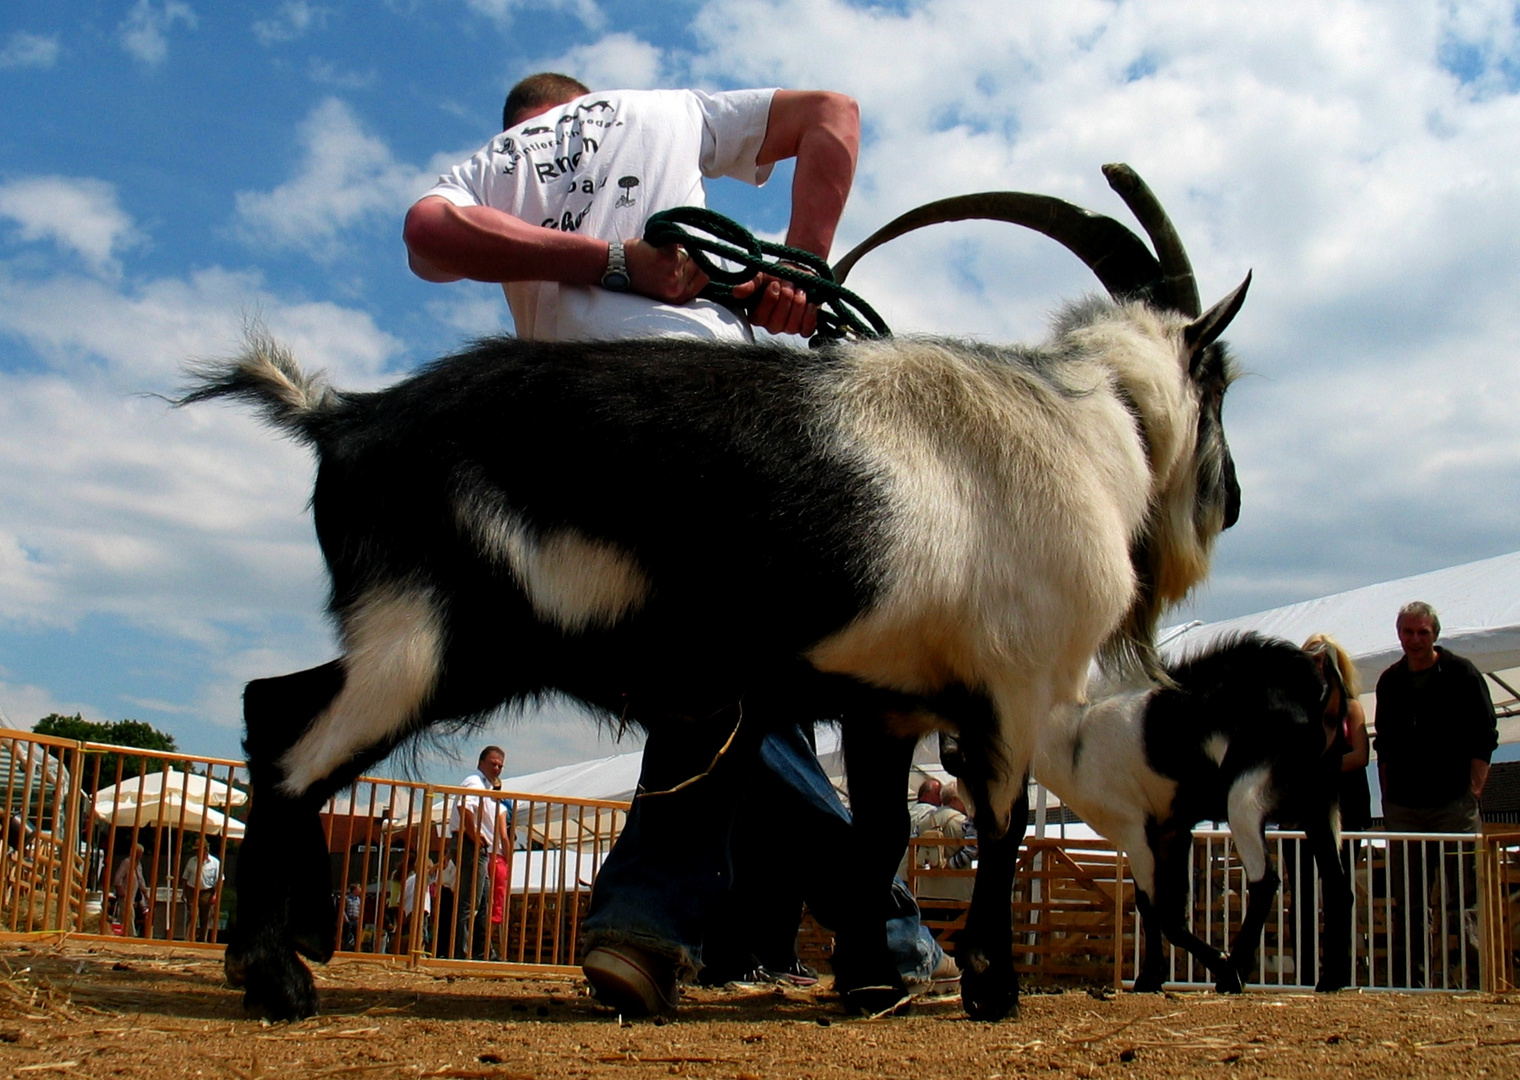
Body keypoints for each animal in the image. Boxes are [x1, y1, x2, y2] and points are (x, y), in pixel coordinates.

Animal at [180, 167, 1246, 1020]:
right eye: (1222, 379)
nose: (1233, 503)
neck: (1090, 417)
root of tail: (342, 419)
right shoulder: (1013, 687)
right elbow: (1003, 825)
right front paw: (991, 986)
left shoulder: (890, 702)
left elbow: (883, 833)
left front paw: (872, 981)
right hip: (431, 641)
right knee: (295, 751)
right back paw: (278, 978)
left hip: (404, 631)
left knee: (271, 706)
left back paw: (286, 947)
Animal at [1027, 634, 1349, 996]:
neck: (1075, 734)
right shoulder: (1172, 832)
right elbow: (1167, 912)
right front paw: (1155, 976)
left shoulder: (1134, 830)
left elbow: (1153, 906)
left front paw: (1159, 975)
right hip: (1321, 804)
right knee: (1338, 884)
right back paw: (1331, 979)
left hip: (1245, 798)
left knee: (1265, 881)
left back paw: (1232, 974)